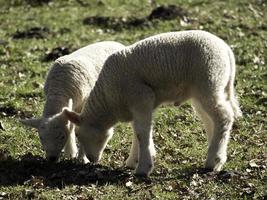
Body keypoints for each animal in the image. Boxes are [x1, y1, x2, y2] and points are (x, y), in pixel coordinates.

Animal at [62, 30, 243, 177]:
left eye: (78, 134)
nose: (92, 160)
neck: (109, 100)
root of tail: (226, 49)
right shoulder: (137, 105)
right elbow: (137, 130)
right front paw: (133, 161)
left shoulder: (141, 97)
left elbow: (142, 133)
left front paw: (143, 167)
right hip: (205, 89)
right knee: (211, 119)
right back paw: (218, 159)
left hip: (209, 80)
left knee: (224, 117)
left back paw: (214, 159)